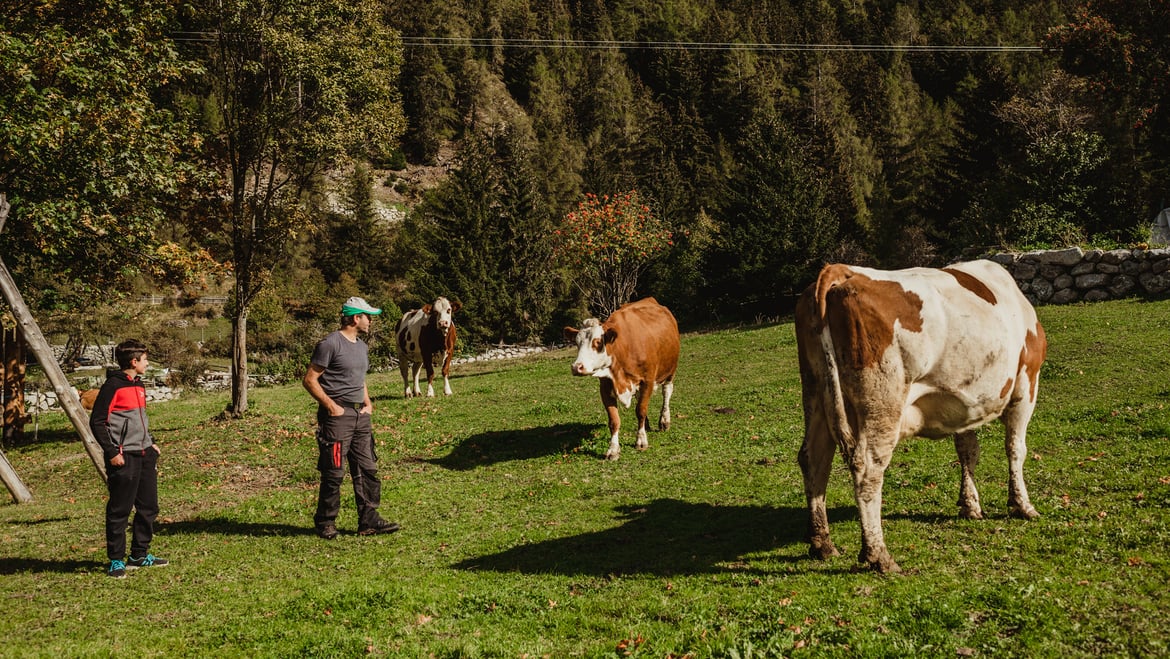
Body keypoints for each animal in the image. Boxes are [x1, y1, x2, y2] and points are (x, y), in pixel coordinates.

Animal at [563, 296, 683, 461]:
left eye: (597, 342)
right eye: (577, 343)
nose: (576, 367)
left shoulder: (648, 381)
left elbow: (641, 410)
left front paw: (641, 441)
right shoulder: (605, 387)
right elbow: (614, 420)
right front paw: (613, 450)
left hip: (671, 370)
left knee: (667, 391)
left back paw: (664, 420)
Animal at [790, 261, 1048, 575]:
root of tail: (842, 271)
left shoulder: (963, 402)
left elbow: (968, 451)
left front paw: (970, 505)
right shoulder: (1027, 382)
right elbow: (1015, 449)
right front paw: (1022, 505)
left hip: (815, 391)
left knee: (813, 458)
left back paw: (822, 543)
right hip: (883, 402)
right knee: (867, 469)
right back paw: (879, 555)